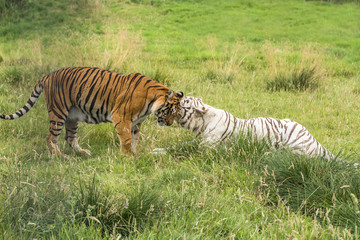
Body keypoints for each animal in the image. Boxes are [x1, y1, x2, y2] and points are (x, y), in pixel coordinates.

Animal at [0, 67, 184, 158]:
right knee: (51, 137)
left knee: (69, 138)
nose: (169, 124)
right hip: (58, 113)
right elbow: (126, 139)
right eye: (170, 111)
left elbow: (135, 140)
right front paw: (128, 157)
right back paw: (59, 156)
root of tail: (46, 77)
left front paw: (134, 153)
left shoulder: (136, 123)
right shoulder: (121, 117)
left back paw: (82, 152)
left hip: (72, 117)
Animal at [174, 96, 358, 164]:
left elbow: (188, 151)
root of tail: (315, 140)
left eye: (184, 102)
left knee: (298, 157)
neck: (202, 123)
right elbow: (180, 146)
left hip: (294, 142)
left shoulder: (207, 147)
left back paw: (267, 154)